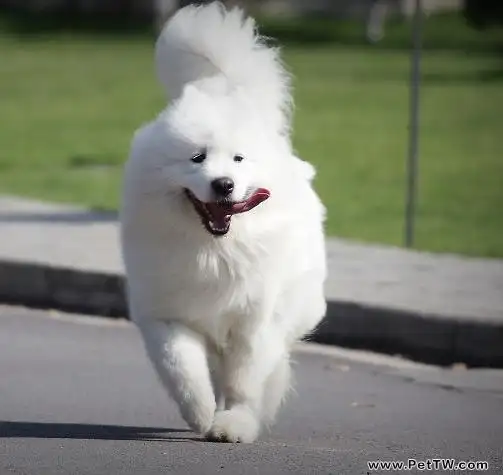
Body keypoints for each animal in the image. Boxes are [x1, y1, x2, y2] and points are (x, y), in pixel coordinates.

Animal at [120, 1, 328, 444]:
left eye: (238, 159)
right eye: (197, 157)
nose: (224, 184)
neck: (214, 250)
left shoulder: (254, 322)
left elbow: (243, 380)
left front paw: (234, 423)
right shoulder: (168, 316)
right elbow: (183, 371)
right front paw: (201, 415)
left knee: (271, 365)